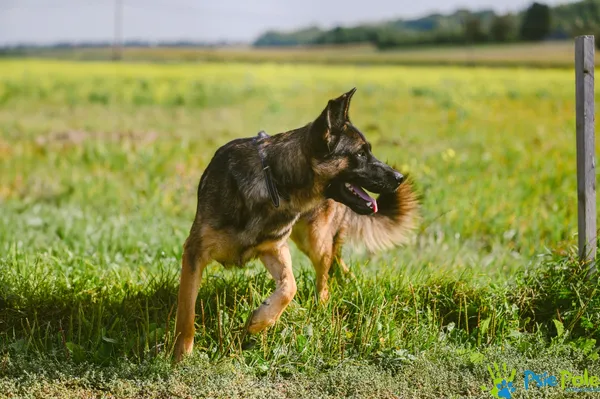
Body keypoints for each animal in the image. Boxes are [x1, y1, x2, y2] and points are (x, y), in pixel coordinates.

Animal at [173, 87, 418, 362]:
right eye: (360, 154)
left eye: (369, 151)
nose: (399, 177)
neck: (274, 181)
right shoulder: (194, 253)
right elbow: (186, 312)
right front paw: (181, 356)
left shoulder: (274, 248)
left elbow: (290, 286)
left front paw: (260, 321)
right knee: (335, 261)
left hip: (314, 239)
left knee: (325, 273)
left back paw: (323, 306)